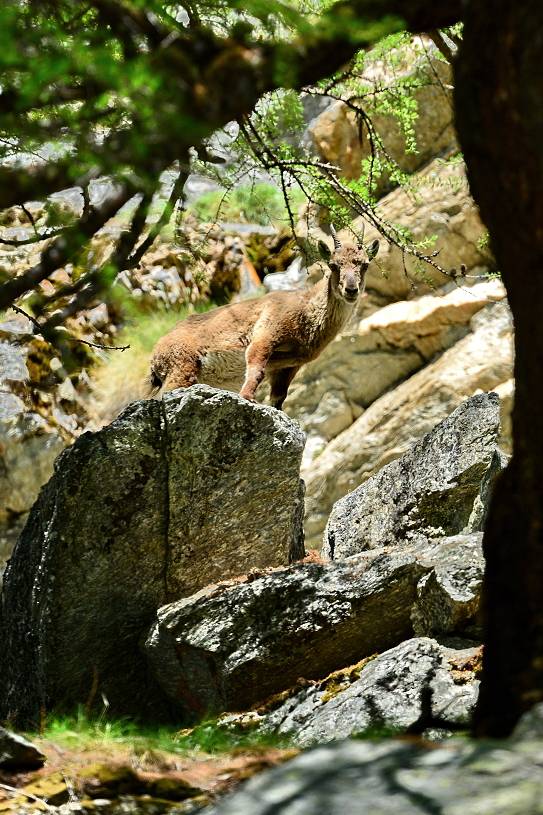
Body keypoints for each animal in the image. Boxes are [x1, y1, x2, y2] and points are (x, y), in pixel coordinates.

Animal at [148, 227, 380, 410]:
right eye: (333, 265)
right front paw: (247, 398)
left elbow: (279, 397)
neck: (307, 313)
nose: (351, 290)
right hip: (182, 365)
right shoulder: (267, 333)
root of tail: (156, 353)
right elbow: (256, 368)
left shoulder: (288, 366)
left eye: (365, 264)